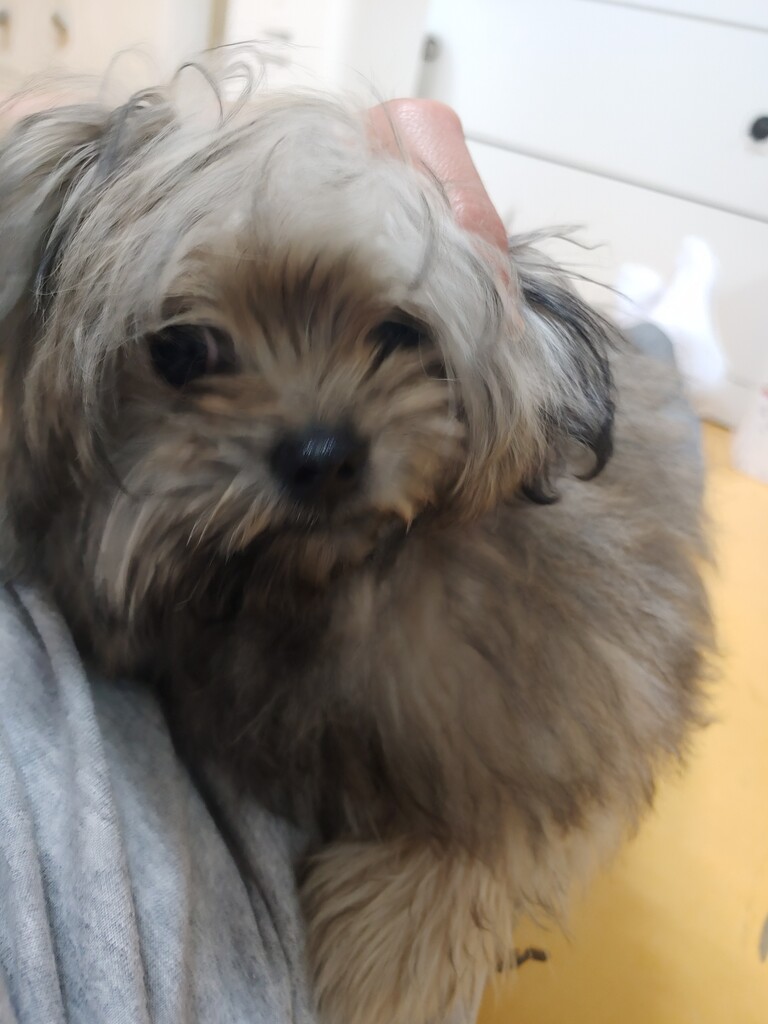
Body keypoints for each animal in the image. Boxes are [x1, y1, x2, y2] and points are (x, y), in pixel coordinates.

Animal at [0, 65, 712, 1024]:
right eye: (181, 349)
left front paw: (384, 965)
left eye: (400, 332)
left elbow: (494, 830)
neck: (316, 584)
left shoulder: (569, 708)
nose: (322, 455)